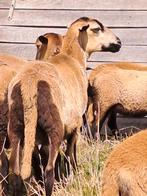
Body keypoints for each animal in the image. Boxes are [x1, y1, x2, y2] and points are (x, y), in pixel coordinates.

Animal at [7, 17, 120, 196]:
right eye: (96, 29)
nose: (119, 42)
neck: (72, 57)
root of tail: (29, 84)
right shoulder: (76, 126)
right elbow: (70, 155)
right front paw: (74, 174)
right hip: (54, 127)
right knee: (48, 170)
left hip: (17, 126)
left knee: (19, 169)